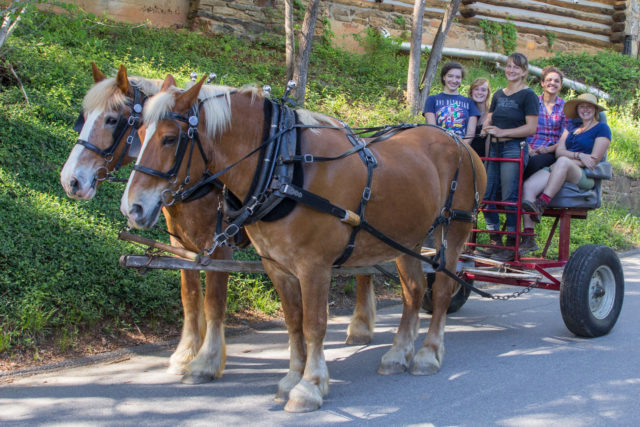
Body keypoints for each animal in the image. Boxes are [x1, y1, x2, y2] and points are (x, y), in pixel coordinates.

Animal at [58, 66, 376, 384]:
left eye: (112, 119)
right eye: (83, 119)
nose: (71, 181)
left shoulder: (219, 249)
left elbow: (213, 302)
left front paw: (207, 361)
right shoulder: (182, 246)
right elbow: (189, 298)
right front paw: (185, 354)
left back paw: (360, 327)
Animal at [121, 76, 484, 412]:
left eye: (170, 138)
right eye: (138, 134)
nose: (132, 207)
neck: (282, 164)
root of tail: (460, 144)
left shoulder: (314, 267)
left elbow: (314, 325)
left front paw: (309, 386)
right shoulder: (277, 266)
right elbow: (293, 322)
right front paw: (292, 378)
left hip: (453, 232)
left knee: (442, 290)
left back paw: (428, 354)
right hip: (406, 239)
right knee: (414, 290)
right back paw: (398, 354)